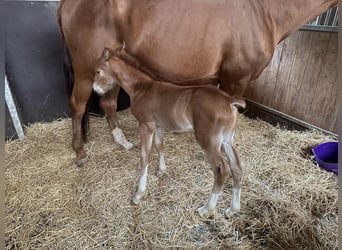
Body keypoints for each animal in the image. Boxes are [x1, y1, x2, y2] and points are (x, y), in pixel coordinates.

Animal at [92, 47, 244, 218]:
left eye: (97, 71)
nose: (95, 90)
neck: (141, 88)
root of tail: (230, 101)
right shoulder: (158, 126)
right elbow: (159, 145)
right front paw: (161, 169)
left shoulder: (146, 125)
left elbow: (144, 156)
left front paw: (139, 194)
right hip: (227, 140)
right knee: (237, 168)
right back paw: (232, 209)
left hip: (209, 141)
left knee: (222, 170)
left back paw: (206, 209)